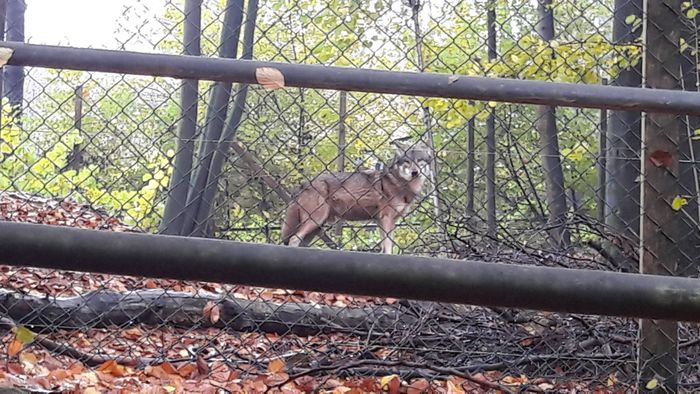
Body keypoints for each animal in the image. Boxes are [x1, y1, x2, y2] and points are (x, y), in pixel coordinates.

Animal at [280, 140, 432, 254]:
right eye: (407, 161)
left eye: (419, 160)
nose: (414, 172)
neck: (398, 183)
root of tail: (304, 183)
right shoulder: (386, 218)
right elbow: (388, 247)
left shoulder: (384, 221)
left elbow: (384, 247)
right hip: (315, 221)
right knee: (293, 240)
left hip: (315, 228)